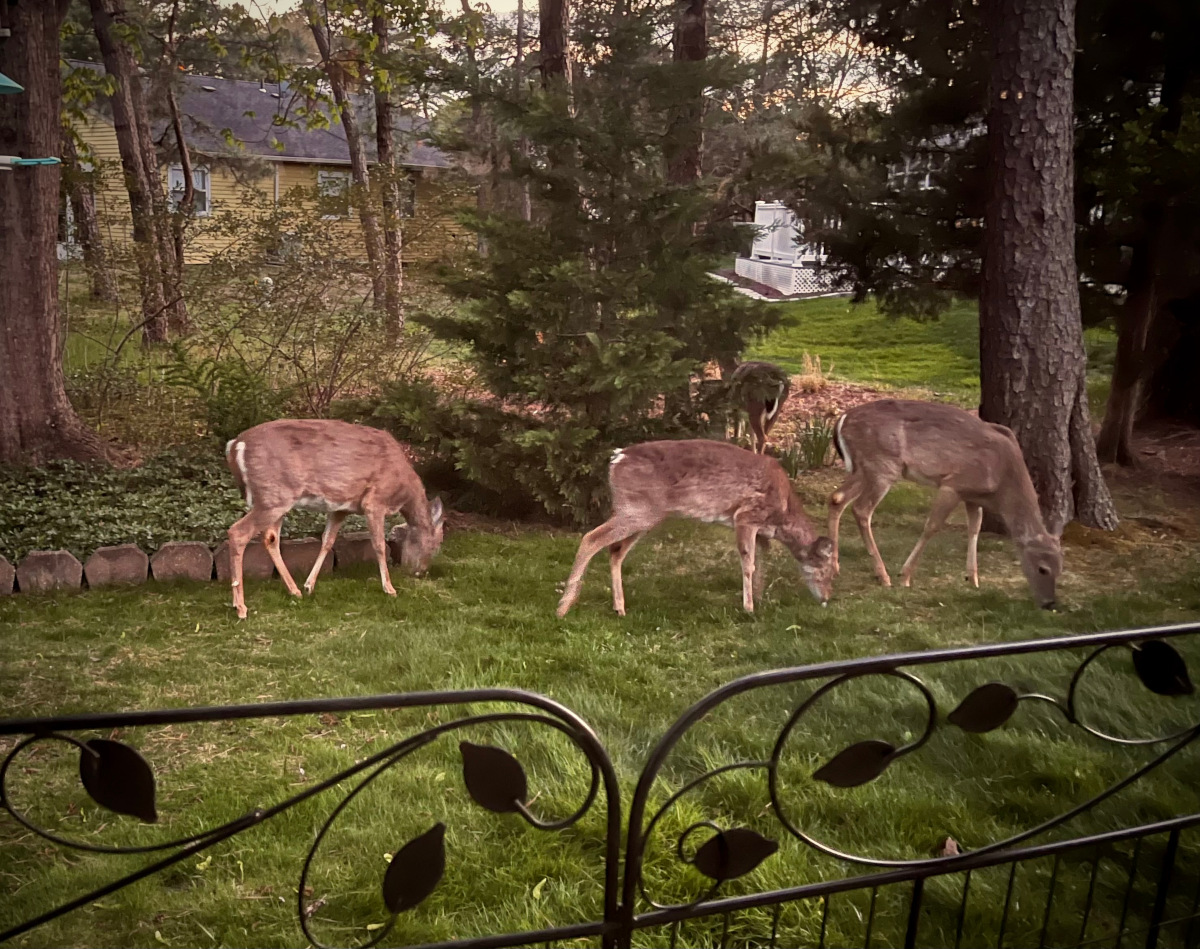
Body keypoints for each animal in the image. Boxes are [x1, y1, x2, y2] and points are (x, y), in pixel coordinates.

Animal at [224, 419, 444, 619]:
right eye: (437, 543)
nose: (422, 571)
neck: (404, 492)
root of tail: (235, 445)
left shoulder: (341, 508)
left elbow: (327, 541)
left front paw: (309, 585)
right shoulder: (374, 501)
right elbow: (380, 545)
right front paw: (389, 588)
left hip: (275, 498)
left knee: (270, 538)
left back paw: (294, 591)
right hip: (274, 495)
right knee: (238, 532)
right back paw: (240, 607)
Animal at [556, 439, 835, 617]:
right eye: (827, 571)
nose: (826, 598)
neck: (783, 513)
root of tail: (617, 458)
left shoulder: (761, 531)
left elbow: (761, 562)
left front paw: (759, 597)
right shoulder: (746, 516)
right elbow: (748, 563)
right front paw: (749, 608)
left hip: (644, 514)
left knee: (615, 551)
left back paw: (619, 608)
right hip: (637, 511)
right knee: (591, 538)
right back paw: (564, 607)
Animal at [827, 399, 1062, 609]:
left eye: (1060, 569)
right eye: (1042, 569)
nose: (1050, 604)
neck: (1004, 481)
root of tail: (842, 419)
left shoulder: (972, 495)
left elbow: (974, 529)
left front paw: (973, 580)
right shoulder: (953, 484)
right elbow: (932, 526)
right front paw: (905, 576)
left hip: (864, 468)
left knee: (837, 498)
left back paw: (834, 566)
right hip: (882, 465)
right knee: (861, 509)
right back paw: (883, 576)